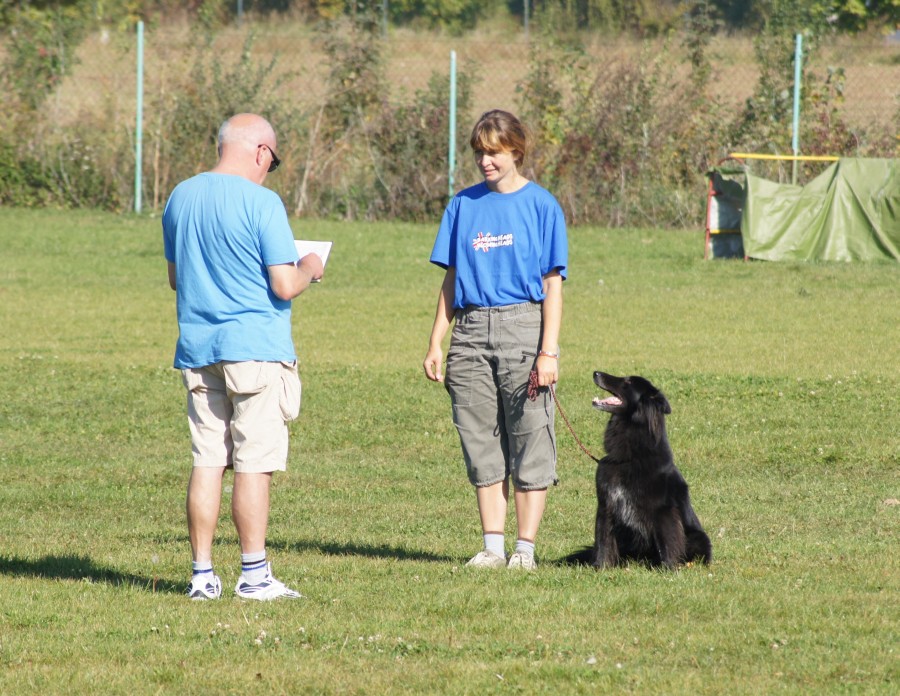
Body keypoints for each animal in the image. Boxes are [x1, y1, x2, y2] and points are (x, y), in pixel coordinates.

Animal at [572, 372, 712, 568]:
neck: (630, 457)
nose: (596, 373)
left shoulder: (663, 510)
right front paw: (600, 567)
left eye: (627, 382)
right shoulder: (606, 504)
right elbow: (603, 540)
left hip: (697, 537)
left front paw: (669, 568)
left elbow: (668, 541)